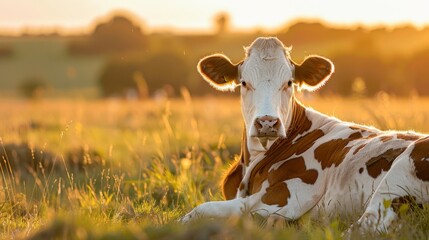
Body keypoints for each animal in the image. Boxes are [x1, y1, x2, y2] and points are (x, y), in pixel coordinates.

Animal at [181, 36, 428, 232]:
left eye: (289, 83)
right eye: (244, 83)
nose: (267, 122)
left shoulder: (281, 200)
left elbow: (199, 211)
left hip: (394, 183)